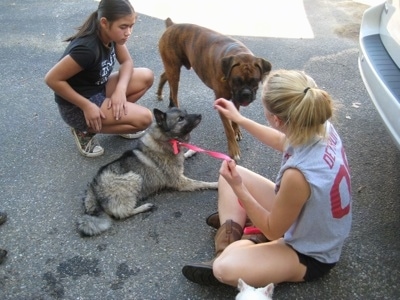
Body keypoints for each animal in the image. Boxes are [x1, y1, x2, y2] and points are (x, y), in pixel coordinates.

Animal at [77, 108, 217, 237]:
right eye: (180, 119)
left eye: (186, 112)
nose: (199, 115)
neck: (166, 138)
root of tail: (93, 188)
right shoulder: (180, 181)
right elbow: (201, 182)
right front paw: (216, 184)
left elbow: (184, 156)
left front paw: (191, 151)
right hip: (134, 177)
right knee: (123, 214)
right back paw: (144, 207)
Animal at [156, 17, 272, 161]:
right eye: (236, 81)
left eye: (255, 81)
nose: (246, 94)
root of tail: (172, 25)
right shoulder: (222, 102)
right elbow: (228, 129)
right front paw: (234, 150)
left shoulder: (235, 100)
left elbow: (235, 117)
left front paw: (237, 131)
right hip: (174, 70)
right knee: (174, 93)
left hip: (172, 68)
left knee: (163, 76)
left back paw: (159, 94)